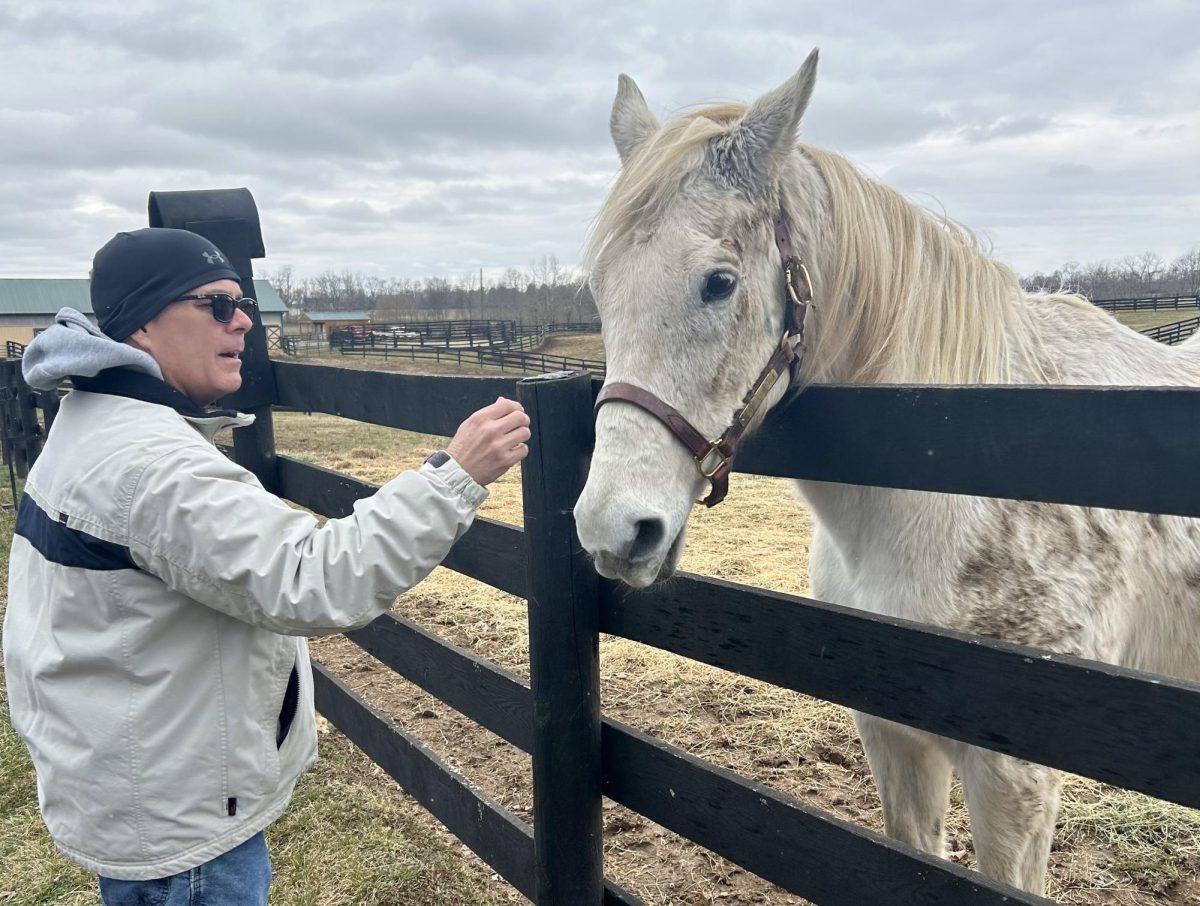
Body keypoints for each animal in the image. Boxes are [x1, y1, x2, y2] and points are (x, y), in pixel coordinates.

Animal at [568, 51, 1200, 902]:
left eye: (719, 282)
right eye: (601, 289)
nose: (613, 530)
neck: (949, 491)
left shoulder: (1016, 778)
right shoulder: (891, 736)